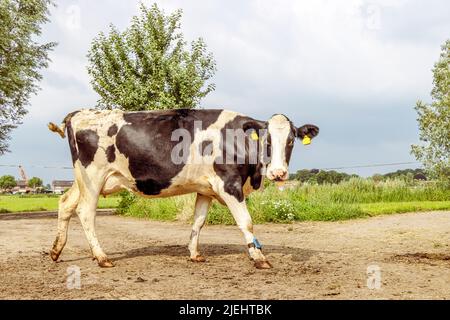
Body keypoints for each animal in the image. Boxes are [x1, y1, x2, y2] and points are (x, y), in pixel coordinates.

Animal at [47, 109, 318, 268]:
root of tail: (79, 113)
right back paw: (102, 257)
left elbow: (198, 222)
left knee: (65, 203)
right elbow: (246, 222)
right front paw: (259, 257)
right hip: (93, 177)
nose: (279, 173)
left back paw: (56, 251)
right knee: (85, 212)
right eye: (267, 140)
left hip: (83, 181)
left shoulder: (206, 190)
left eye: (291, 141)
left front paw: (194, 254)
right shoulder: (229, 185)